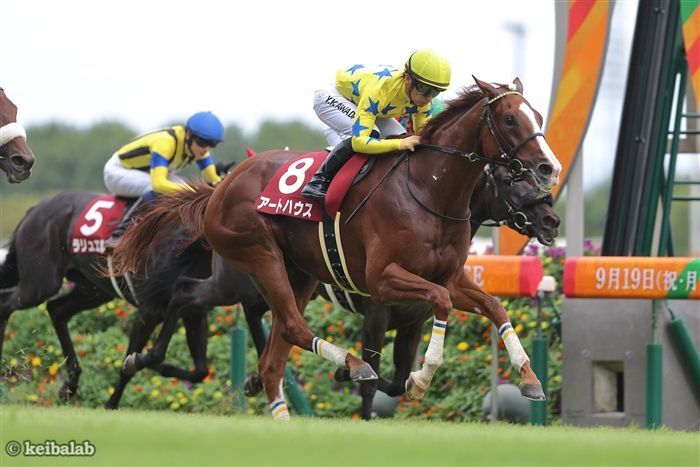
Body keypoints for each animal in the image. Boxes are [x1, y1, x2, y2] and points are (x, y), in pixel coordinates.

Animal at [115, 77, 564, 420]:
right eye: (509, 119)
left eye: (540, 118)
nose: (549, 170)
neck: (427, 190)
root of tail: (220, 188)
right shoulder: (382, 285)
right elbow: (433, 311)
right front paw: (419, 380)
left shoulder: (445, 282)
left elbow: (495, 307)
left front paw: (530, 380)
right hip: (255, 256)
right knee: (270, 321)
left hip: (298, 274)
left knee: (275, 348)